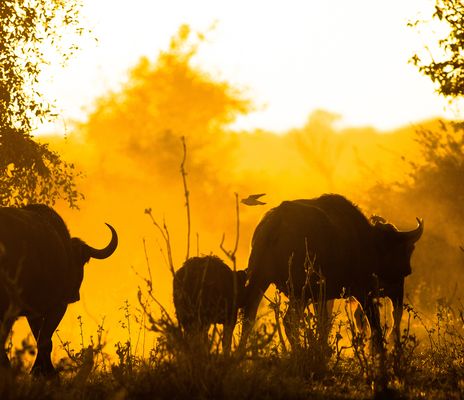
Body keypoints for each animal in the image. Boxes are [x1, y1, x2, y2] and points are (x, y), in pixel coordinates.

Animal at [0, 205, 118, 376]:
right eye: (82, 261)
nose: (74, 295)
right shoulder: (58, 306)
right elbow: (45, 340)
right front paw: (47, 373)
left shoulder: (34, 312)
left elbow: (39, 336)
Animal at [241, 194, 422, 350]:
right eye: (406, 250)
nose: (407, 270)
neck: (370, 243)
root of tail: (277, 221)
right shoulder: (363, 291)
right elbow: (375, 326)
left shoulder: (323, 297)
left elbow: (324, 325)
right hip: (299, 292)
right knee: (289, 321)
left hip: (260, 281)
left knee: (248, 317)